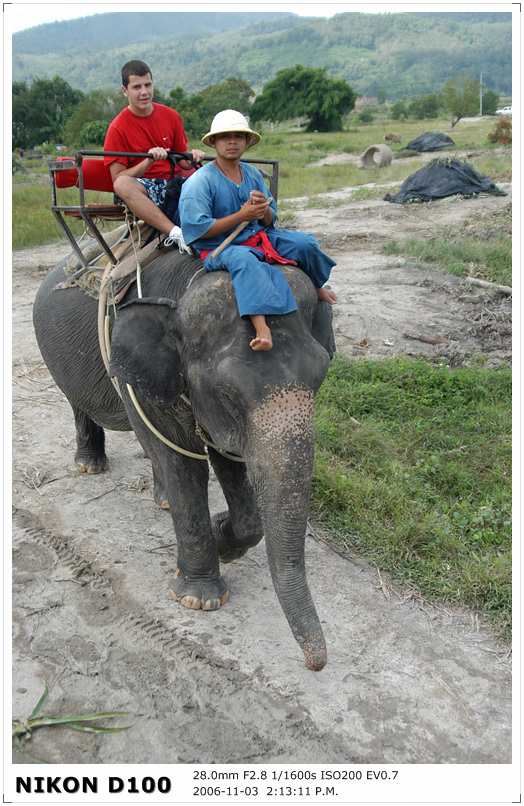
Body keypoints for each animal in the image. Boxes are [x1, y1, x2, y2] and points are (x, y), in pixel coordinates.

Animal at [32, 248, 336, 676]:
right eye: (227, 393)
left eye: (322, 376)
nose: (314, 664)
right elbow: (183, 462)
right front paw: (198, 599)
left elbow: (227, 458)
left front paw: (225, 537)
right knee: (83, 407)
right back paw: (90, 466)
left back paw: (160, 499)